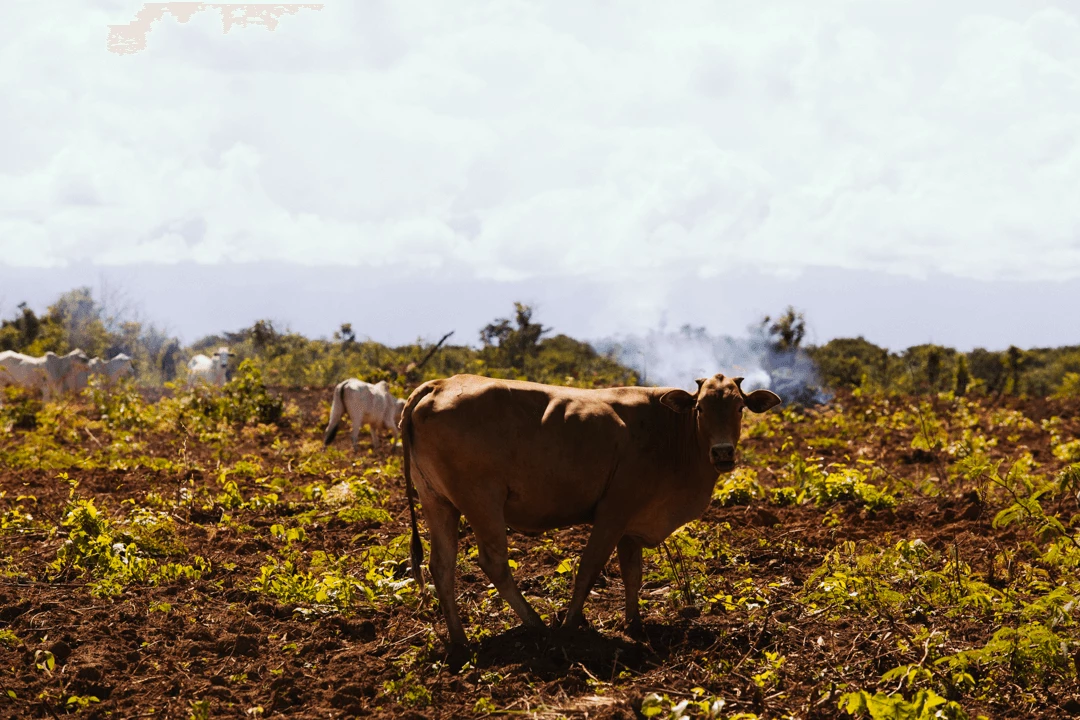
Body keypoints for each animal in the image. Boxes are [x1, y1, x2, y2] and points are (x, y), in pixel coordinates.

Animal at [400, 373, 782, 652]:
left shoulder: (631, 525)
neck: (671, 434)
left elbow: (632, 574)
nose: (722, 452)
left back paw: (459, 641)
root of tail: (439, 384)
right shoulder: (613, 512)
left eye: (739, 407)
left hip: (438, 503)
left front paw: (634, 624)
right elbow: (589, 569)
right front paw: (572, 625)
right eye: (700, 408)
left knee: (441, 566)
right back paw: (537, 625)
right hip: (483, 503)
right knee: (493, 562)